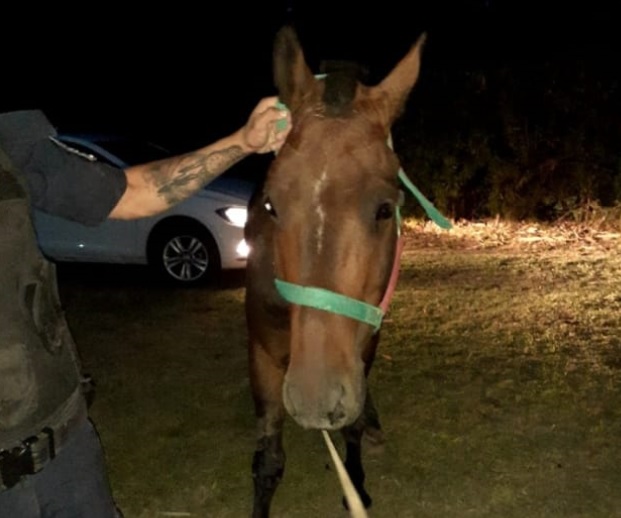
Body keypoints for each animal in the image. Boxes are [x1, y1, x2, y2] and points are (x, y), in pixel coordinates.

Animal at [245, 25, 424, 518]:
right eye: (271, 205)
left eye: (385, 209)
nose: (314, 398)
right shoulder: (261, 354)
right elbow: (268, 459)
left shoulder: (362, 345)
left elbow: (353, 425)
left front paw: (356, 485)